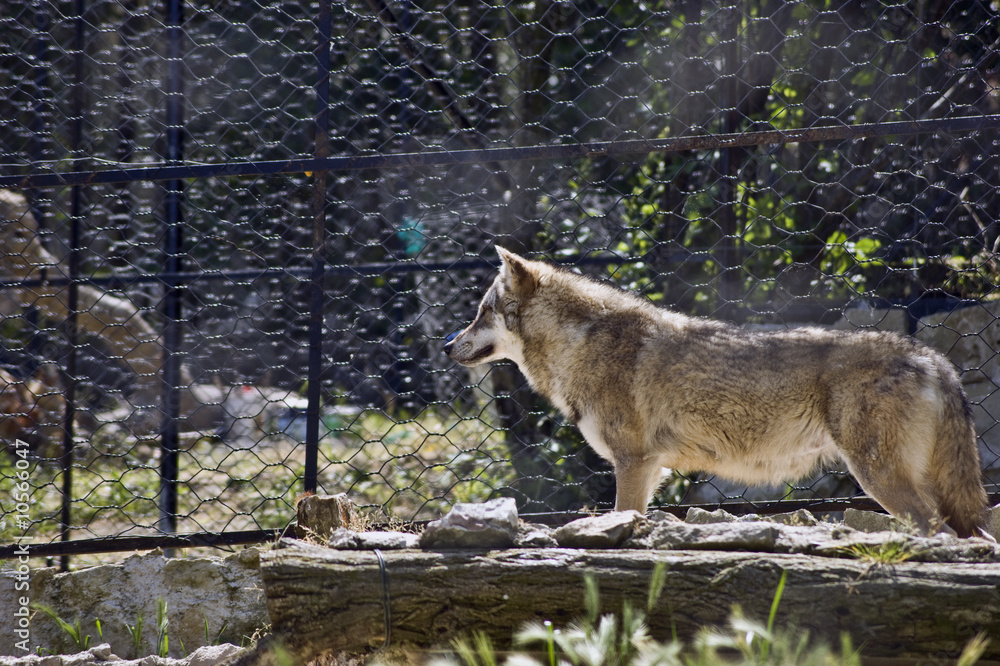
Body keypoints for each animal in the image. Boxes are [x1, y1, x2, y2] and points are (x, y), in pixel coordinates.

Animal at [444, 247, 994, 539]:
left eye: (481, 312)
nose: (448, 345)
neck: (580, 344)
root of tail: (934, 359)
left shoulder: (632, 463)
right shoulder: (652, 470)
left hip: (881, 480)